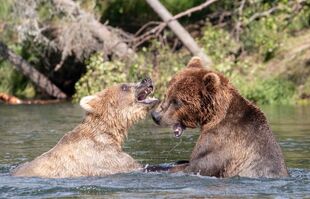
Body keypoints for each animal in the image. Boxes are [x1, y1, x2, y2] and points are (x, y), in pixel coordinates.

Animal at [151, 56, 290, 178]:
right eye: (166, 94)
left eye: (177, 101)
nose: (156, 116)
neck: (213, 116)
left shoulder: (220, 142)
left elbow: (196, 166)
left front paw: (152, 167)